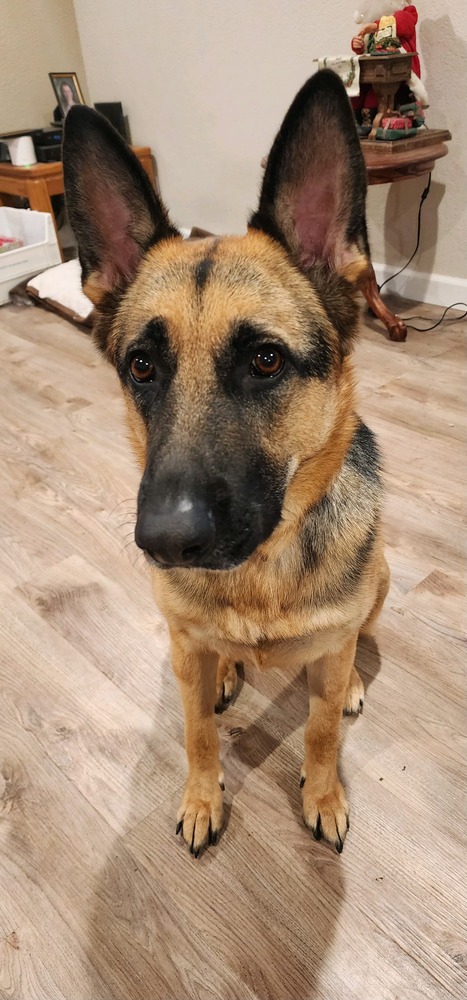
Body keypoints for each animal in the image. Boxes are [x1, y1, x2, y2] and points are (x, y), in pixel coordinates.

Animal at [64, 70, 390, 856]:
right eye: (142, 367)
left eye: (265, 360)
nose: (165, 542)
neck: (260, 579)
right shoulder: (184, 650)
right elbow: (196, 734)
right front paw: (202, 795)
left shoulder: (328, 659)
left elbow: (321, 730)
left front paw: (323, 792)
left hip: (382, 582)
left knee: (355, 641)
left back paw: (349, 681)